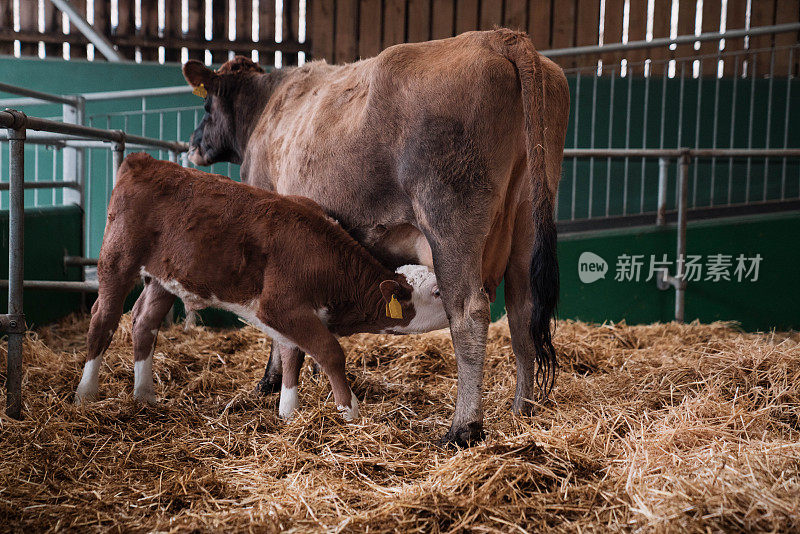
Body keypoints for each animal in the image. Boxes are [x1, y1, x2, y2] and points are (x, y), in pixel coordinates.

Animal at [73, 155, 450, 422]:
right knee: (103, 319)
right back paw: (85, 392)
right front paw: (349, 410)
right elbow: (329, 351)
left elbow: (292, 353)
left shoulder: (294, 313)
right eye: (437, 292)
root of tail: (143, 161)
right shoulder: (280, 305)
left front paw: (289, 412)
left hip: (163, 278)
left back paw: (145, 394)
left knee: (143, 322)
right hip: (117, 260)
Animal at [181, 29, 568, 448]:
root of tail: (496, 37)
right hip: (527, 224)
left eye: (206, 104)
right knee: (523, 313)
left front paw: (270, 381)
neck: (265, 107)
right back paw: (522, 410)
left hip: (450, 222)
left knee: (469, 313)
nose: (192, 144)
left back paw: (463, 427)